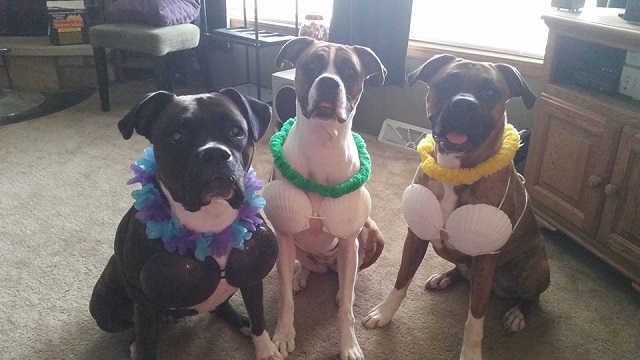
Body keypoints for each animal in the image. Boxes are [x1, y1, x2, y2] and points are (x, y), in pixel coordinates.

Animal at [90, 88, 282, 360]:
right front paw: (142, 346)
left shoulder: (252, 274)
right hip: (104, 305)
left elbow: (258, 317)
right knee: (135, 328)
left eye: (236, 131)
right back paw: (135, 343)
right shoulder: (144, 305)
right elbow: (148, 344)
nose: (214, 152)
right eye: (176, 136)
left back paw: (242, 323)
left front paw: (265, 350)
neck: (210, 215)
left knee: (220, 307)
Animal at [260, 38, 384, 358]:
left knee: (350, 274)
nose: (329, 82)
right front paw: (283, 334)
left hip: (370, 235)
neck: (322, 141)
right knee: (303, 267)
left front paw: (348, 345)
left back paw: (343, 290)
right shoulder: (284, 237)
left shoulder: (349, 240)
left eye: (350, 71)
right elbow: (285, 301)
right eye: (312, 65)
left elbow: (346, 313)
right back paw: (299, 277)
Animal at [362, 54, 552, 358]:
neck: (455, 170)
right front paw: (385, 313)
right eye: (447, 83)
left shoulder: (486, 257)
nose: (464, 103)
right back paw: (445, 277)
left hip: (537, 270)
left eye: (489, 91)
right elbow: (401, 281)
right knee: (464, 272)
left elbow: (475, 319)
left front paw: (471, 352)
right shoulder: (415, 238)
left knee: (531, 298)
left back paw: (517, 313)